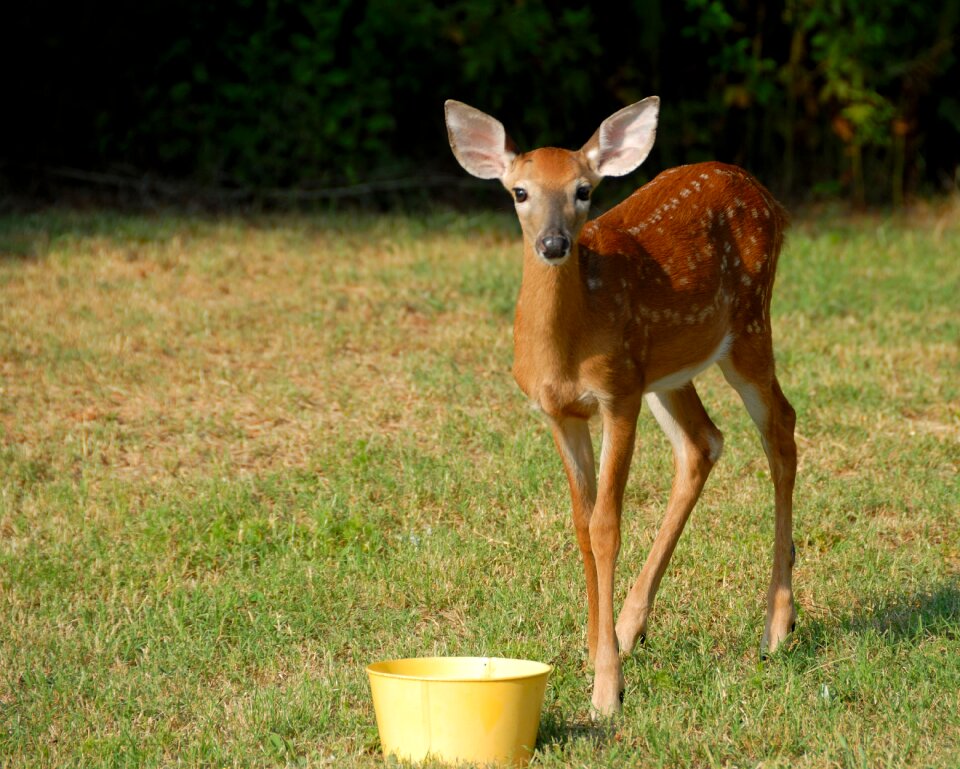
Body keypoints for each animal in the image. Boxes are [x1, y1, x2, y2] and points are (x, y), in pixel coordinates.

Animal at [446, 97, 800, 712]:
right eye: (520, 192)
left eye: (584, 190)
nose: (554, 244)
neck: (566, 349)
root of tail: (764, 193)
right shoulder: (561, 414)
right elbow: (581, 522)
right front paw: (595, 646)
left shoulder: (617, 396)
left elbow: (607, 525)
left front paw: (606, 689)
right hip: (667, 369)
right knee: (704, 442)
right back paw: (634, 624)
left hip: (748, 324)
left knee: (781, 427)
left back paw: (777, 625)